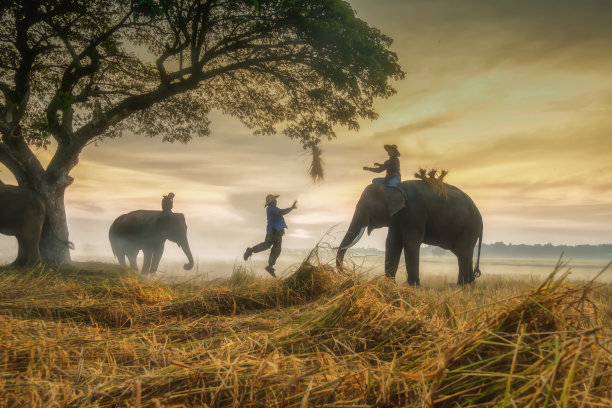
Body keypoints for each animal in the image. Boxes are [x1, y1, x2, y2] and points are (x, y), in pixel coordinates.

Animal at [334, 182, 482, 286]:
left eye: (368, 208)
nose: (348, 273)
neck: (394, 187)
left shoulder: (414, 212)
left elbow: (411, 242)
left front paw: (411, 286)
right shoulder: (397, 218)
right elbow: (392, 243)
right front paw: (390, 285)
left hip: (469, 227)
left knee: (463, 252)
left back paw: (460, 285)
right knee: (463, 253)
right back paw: (468, 284)